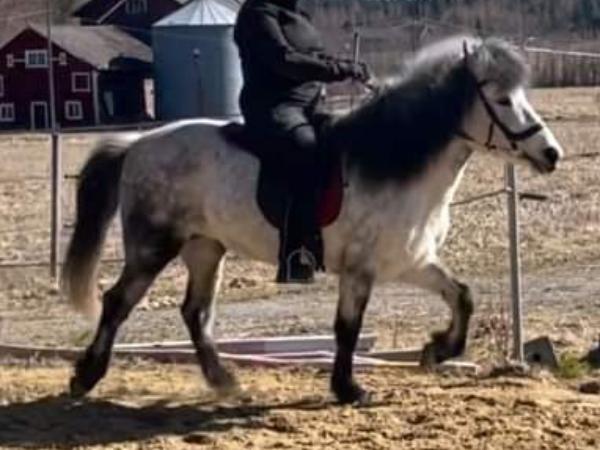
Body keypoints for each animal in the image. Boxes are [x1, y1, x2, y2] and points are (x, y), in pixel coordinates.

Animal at [63, 35, 563, 404]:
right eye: (502, 99)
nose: (551, 155)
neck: (391, 161)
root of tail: (137, 144)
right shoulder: (361, 268)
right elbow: (347, 329)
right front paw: (349, 389)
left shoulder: (410, 261)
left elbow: (462, 295)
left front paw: (437, 349)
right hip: (154, 245)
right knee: (118, 302)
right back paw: (86, 377)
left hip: (205, 247)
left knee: (195, 312)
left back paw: (225, 382)